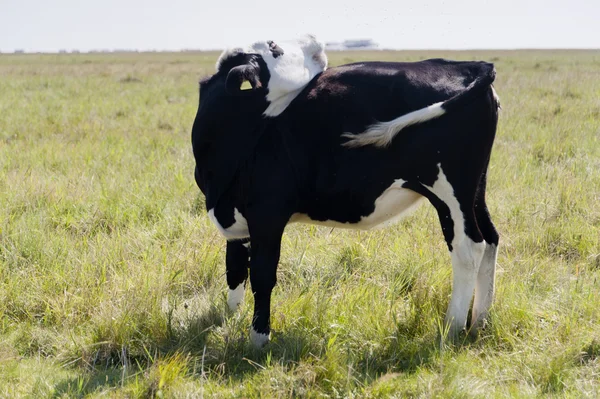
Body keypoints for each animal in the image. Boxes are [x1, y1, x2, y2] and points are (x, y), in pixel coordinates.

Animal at [190, 33, 500, 346]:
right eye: (274, 46)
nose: (315, 39)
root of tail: (469, 65)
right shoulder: (235, 217)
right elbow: (234, 268)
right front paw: (231, 317)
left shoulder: (267, 214)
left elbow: (262, 275)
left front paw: (258, 340)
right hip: (476, 188)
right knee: (490, 238)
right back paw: (479, 323)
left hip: (450, 191)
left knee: (468, 248)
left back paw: (451, 330)